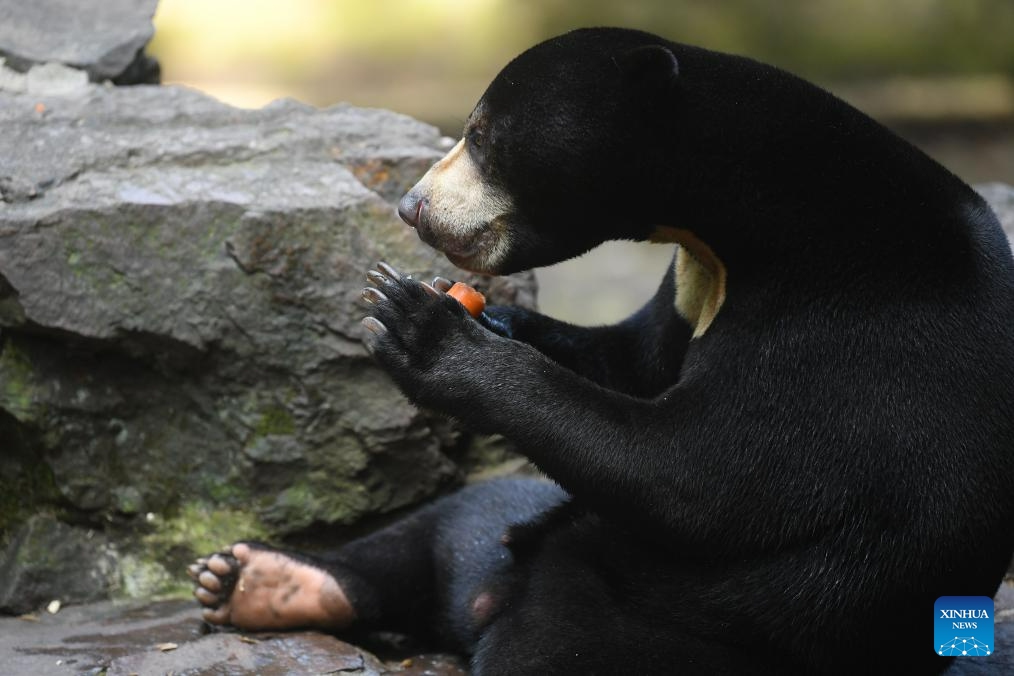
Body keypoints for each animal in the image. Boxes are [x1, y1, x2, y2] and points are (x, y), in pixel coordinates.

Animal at [191, 27, 1014, 676]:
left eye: (482, 133)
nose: (412, 208)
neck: (737, 223)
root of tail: (484, 601)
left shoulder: (851, 327)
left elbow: (701, 474)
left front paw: (417, 326)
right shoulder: (695, 282)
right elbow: (635, 358)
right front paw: (485, 316)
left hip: (669, 620)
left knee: (552, 637)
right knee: (441, 526)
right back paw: (255, 580)